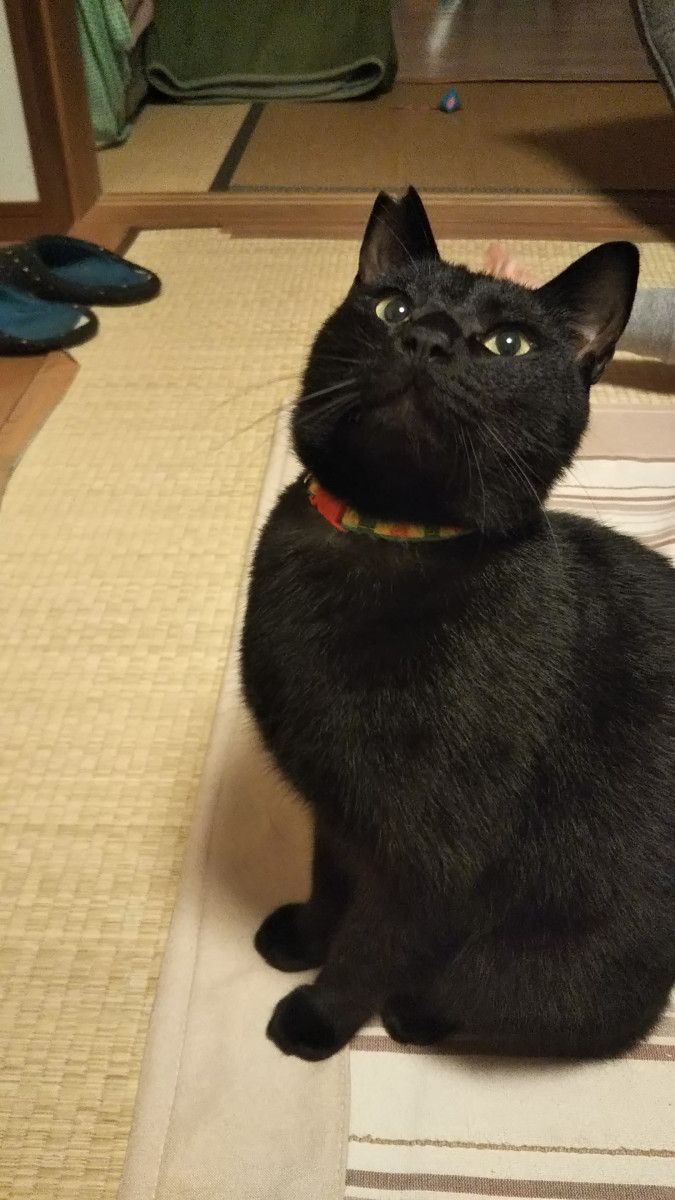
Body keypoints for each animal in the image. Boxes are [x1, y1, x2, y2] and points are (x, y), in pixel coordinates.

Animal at [241, 187, 675, 1062]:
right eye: (391, 306)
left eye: (507, 343)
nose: (427, 339)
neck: (385, 541)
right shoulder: (337, 808)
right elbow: (327, 880)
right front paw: (301, 939)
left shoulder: (428, 854)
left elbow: (370, 942)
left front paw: (317, 1017)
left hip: (542, 964)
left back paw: (416, 1014)